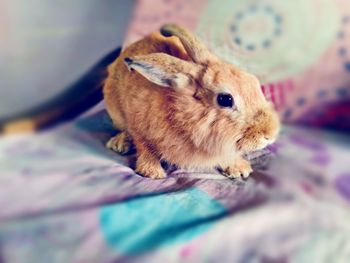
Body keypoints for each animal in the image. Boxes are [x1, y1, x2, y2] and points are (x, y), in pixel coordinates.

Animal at [102, 24, 280, 179]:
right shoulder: (138, 126)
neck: (183, 114)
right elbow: (144, 146)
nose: (270, 135)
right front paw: (152, 171)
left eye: (253, 81)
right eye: (225, 99)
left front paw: (239, 168)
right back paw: (119, 143)